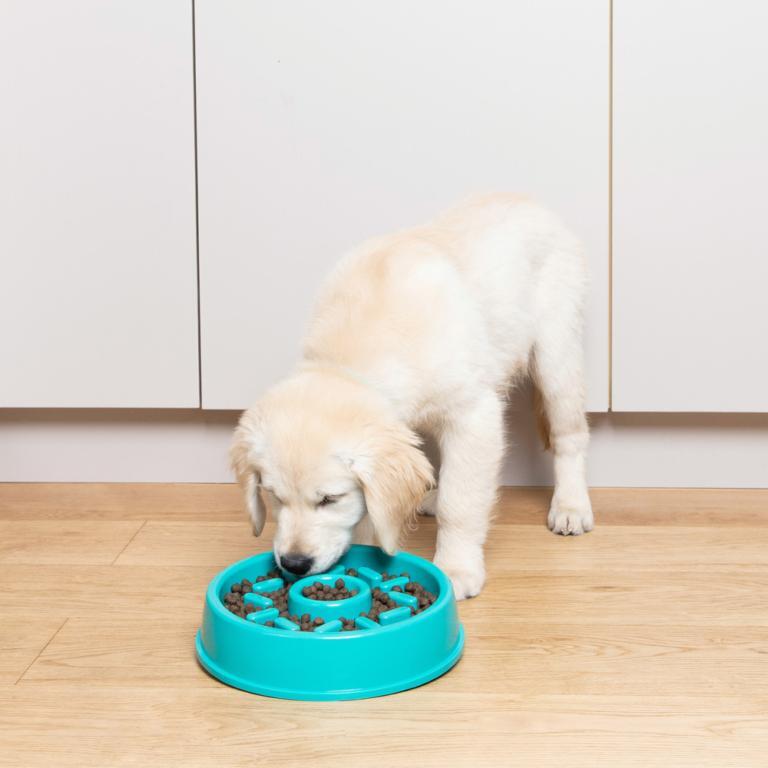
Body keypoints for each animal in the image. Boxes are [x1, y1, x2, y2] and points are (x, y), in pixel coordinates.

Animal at [231, 194, 592, 600]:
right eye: (274, 496)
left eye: (329, 499)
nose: (294, 563)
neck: (352, 358)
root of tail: (523, 198)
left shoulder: (474, 416)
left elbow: (461, 501)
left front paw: (456, 566)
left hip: (556, 355)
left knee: (570, 436)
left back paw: (571, 505)